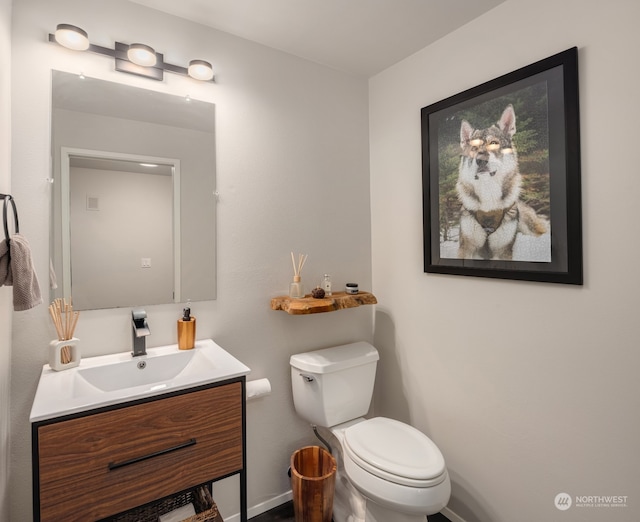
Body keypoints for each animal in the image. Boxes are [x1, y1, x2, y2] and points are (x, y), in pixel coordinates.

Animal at [458, 104, 548, 258]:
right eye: (474, 148)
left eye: (493, 143)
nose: (480, 160)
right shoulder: (467, 247)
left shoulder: (503, 250)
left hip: (530, 227)